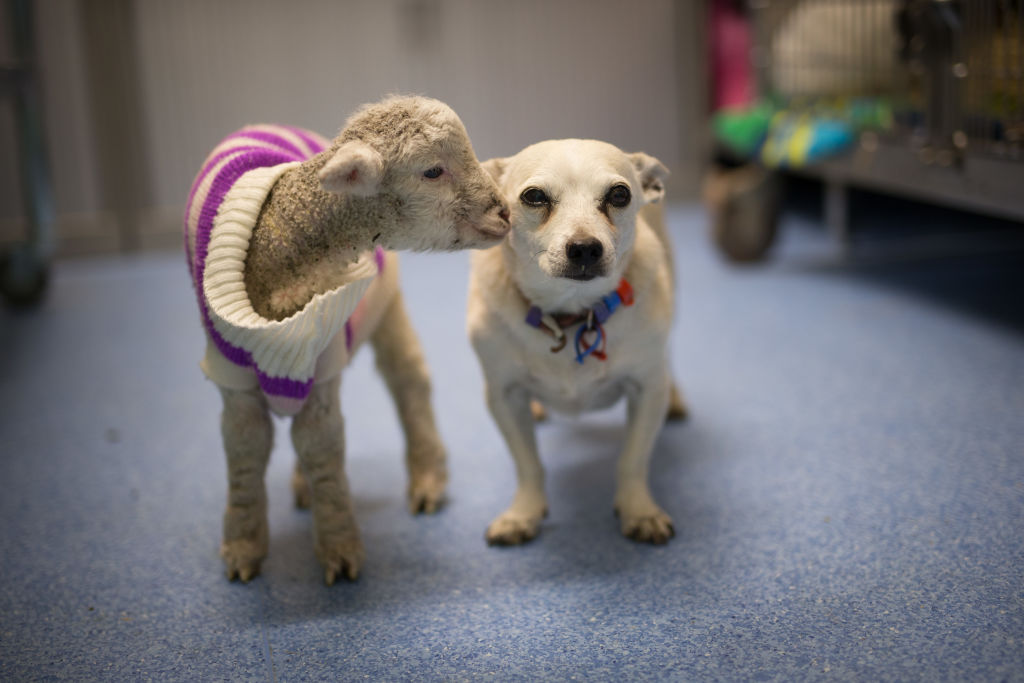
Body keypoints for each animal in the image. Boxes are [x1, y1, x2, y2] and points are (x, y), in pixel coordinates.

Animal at [185, 96, 512, 585]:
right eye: (433, 171)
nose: (505, 212)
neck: (281, 237)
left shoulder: (324, 364)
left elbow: (321, 447)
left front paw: (338, 548)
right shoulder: (234, 377)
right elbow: (246, 452)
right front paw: (243, 547)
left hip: (386, 301)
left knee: (408, 380)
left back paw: (427, 480)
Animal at [471, 139, 688, 544]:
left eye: (620, 194)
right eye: (534, 196)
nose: (585, 247)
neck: (570, 314)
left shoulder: (646, 391)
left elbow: (633, 460)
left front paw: (639, 510)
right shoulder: (504, 396)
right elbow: (528, 464)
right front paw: (523, 513)